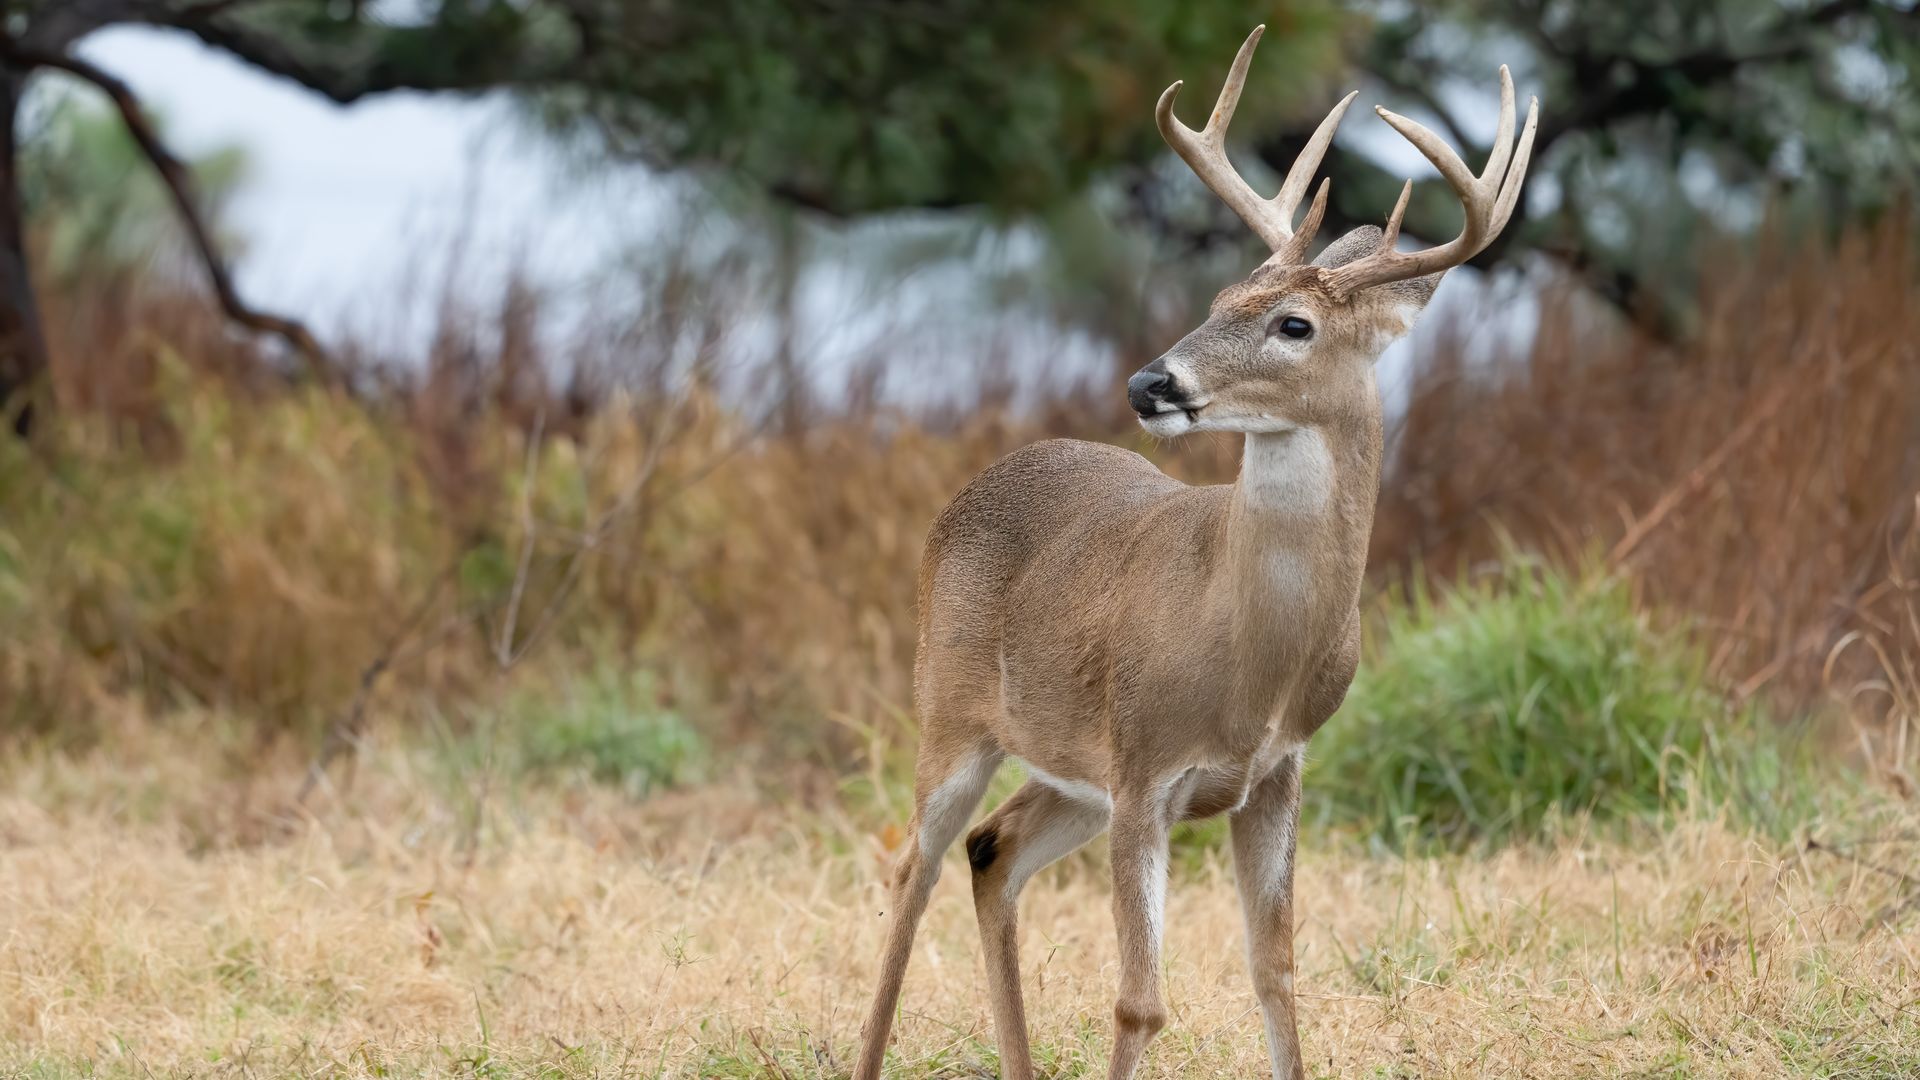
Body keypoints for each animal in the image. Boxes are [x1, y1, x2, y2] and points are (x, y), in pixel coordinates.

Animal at [852, 26, 1536, 1080]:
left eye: (1294, 324)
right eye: (1218, 296)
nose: (1149, 383)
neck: (1250, 655)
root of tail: (973, 486)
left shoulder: (1275, 772)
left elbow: (1277, 974)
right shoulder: (1145, 768)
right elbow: (1140, 1002)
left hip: (1068, 770)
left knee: (991, 850)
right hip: (952, 707)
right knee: (911, 868)